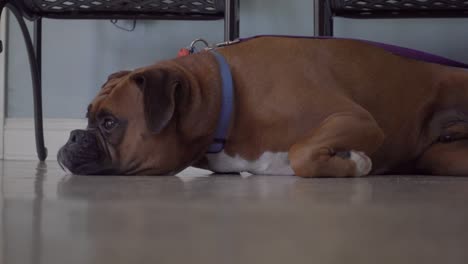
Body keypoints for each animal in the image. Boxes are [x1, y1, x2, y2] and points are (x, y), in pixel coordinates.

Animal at [58, 36, 468, 176]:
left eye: (109, 123)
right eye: (88, 117)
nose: (74, 136)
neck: (227, 100)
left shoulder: (358, 120)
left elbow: (302, 153)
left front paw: (357, 163)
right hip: (445, 159)